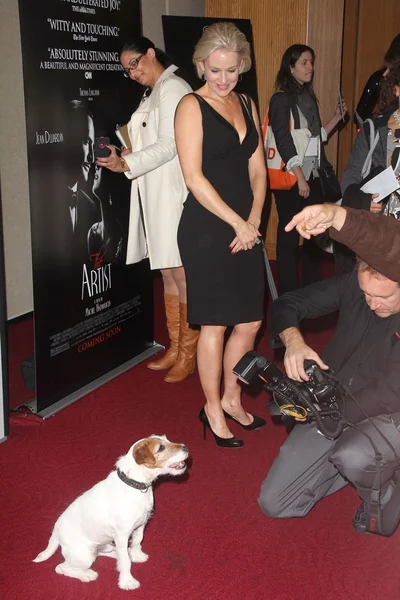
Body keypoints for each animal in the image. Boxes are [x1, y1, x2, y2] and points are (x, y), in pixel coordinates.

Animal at [32, 436, 188, 592]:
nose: (186, 447)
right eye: (161, 448)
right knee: (61, 567)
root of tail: (55, 532)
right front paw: (127, 581)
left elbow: (137, 542)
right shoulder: (122, 535)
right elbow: (125, 561)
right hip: (84, 555)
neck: (134, 485)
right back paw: (87, 574)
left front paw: (137, 556)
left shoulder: (140, 525)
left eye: (166, 439)